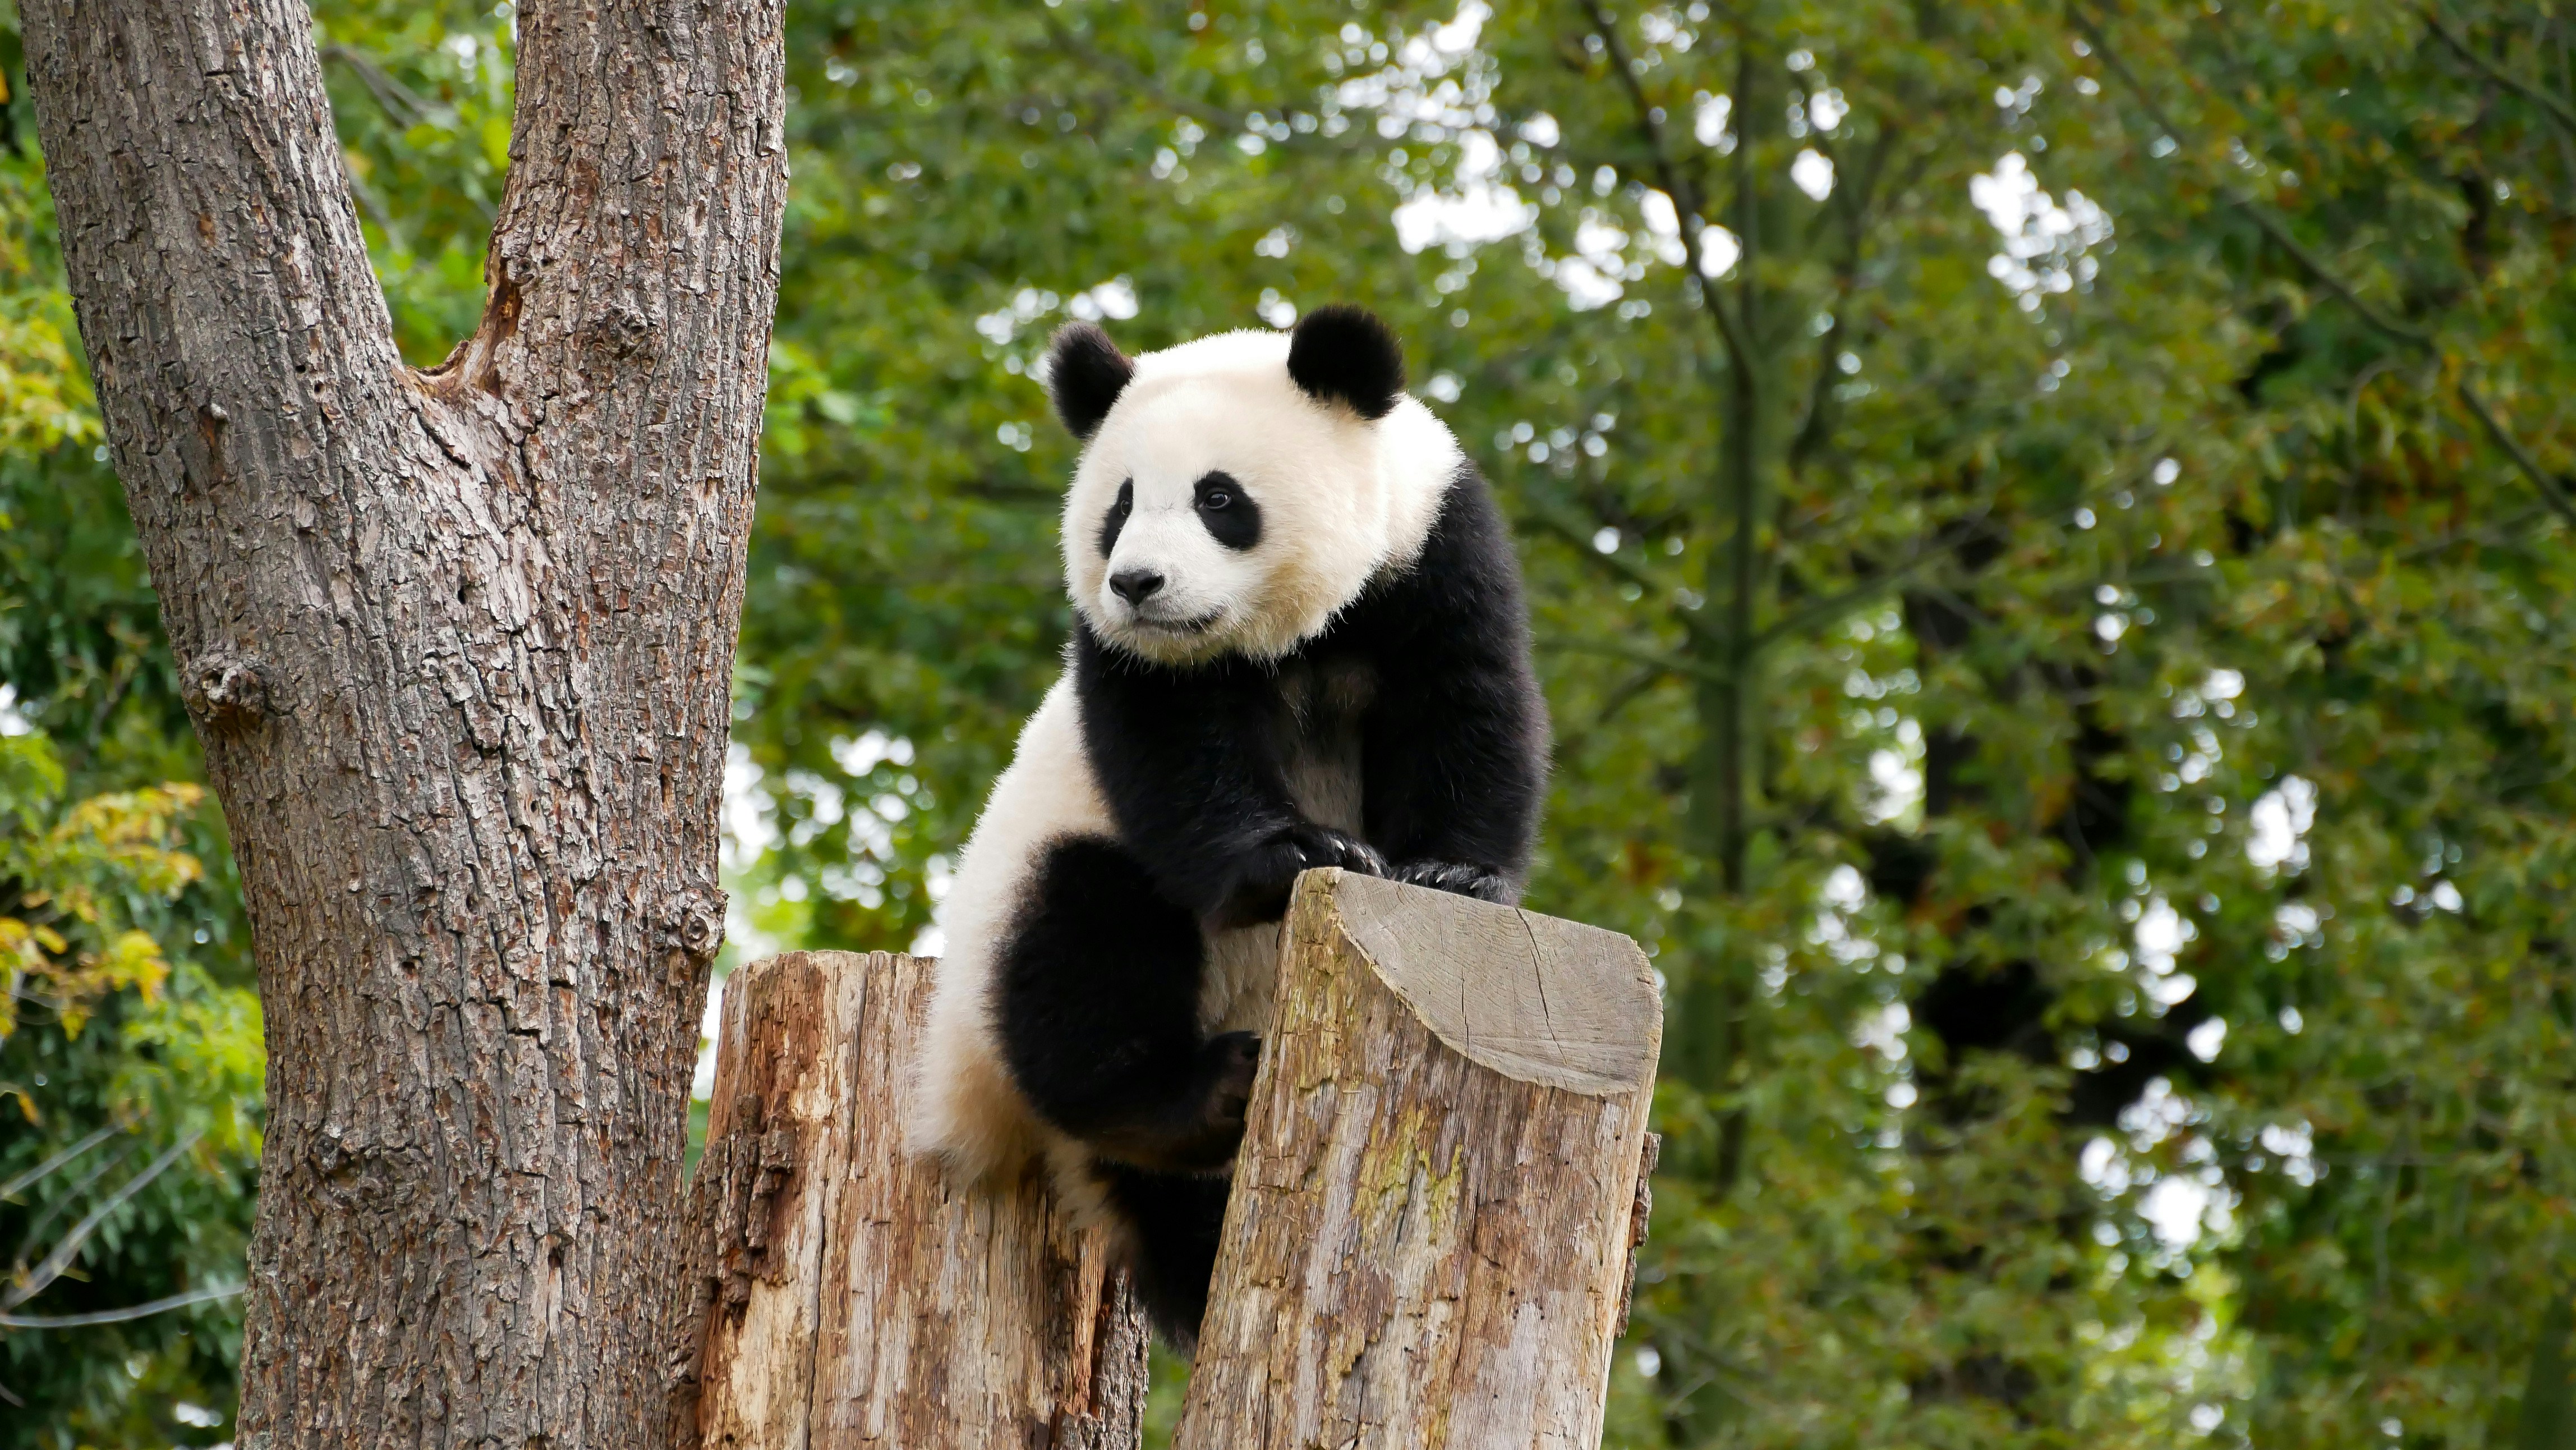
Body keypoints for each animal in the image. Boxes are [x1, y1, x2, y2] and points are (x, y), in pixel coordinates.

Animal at [908, 304, 1547, 1347]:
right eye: (1119, 505)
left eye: (1219, 498)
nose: (1137, 582)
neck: (1286, 635)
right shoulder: (1133, 661)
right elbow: (1175, 751)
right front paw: (1300, 854)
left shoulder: (1433, 553)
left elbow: (1467, 707)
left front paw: (1454, 874)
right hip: (1016, 928)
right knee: (1078, 940)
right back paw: (1194, 1090)